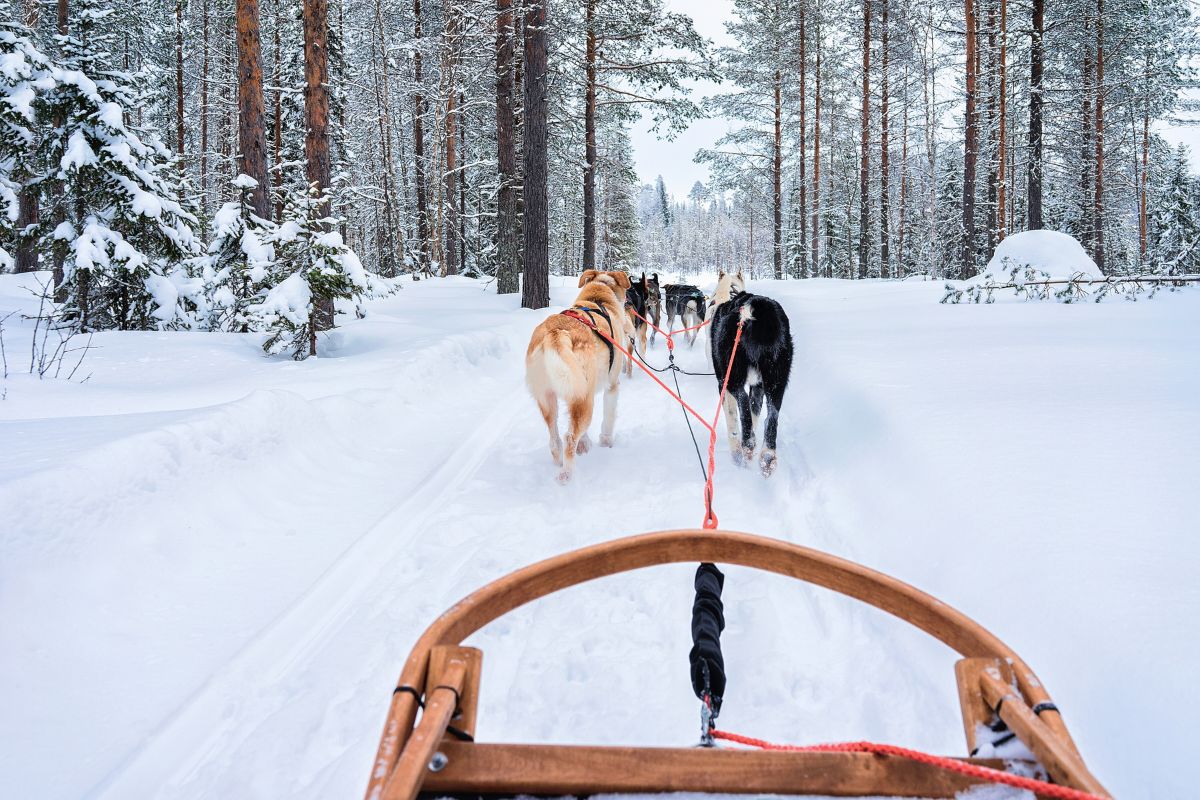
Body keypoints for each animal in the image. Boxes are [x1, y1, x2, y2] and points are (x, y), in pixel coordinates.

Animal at [528, 268, 638, 482]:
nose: (629, 302)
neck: (598, 298)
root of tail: (556, 332)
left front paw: (585, 444)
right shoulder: (612, 386)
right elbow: (608, 419)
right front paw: (606, 442)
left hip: (549, 399)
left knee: (555, 438)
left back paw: (560, 460)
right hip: (584, 398)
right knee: (570, 436)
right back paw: (567, 475)